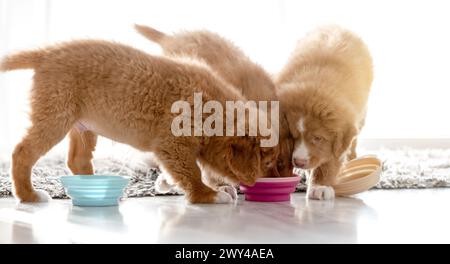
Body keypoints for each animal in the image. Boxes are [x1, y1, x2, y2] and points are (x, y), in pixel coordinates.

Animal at [0, 39, 278, 204]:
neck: (214, 109)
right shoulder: (173, 145)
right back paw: (29, 195)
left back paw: (96, 188)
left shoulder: (176, 149)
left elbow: (186, 169)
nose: (268, 182)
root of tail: (46, 52)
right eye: (268, 163)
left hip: (83, 126)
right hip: (56, 117)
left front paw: (166, 182)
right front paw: (209, 194)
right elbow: (192, 172)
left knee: (76, 160)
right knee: (22, 152)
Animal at [276, 25, 374, 200]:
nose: (299, 162)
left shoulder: (339, 138)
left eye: (318, 138)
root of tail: (337, 26)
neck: (316, 84)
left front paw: (320, 185)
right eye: (292, 136)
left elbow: (330, 158)